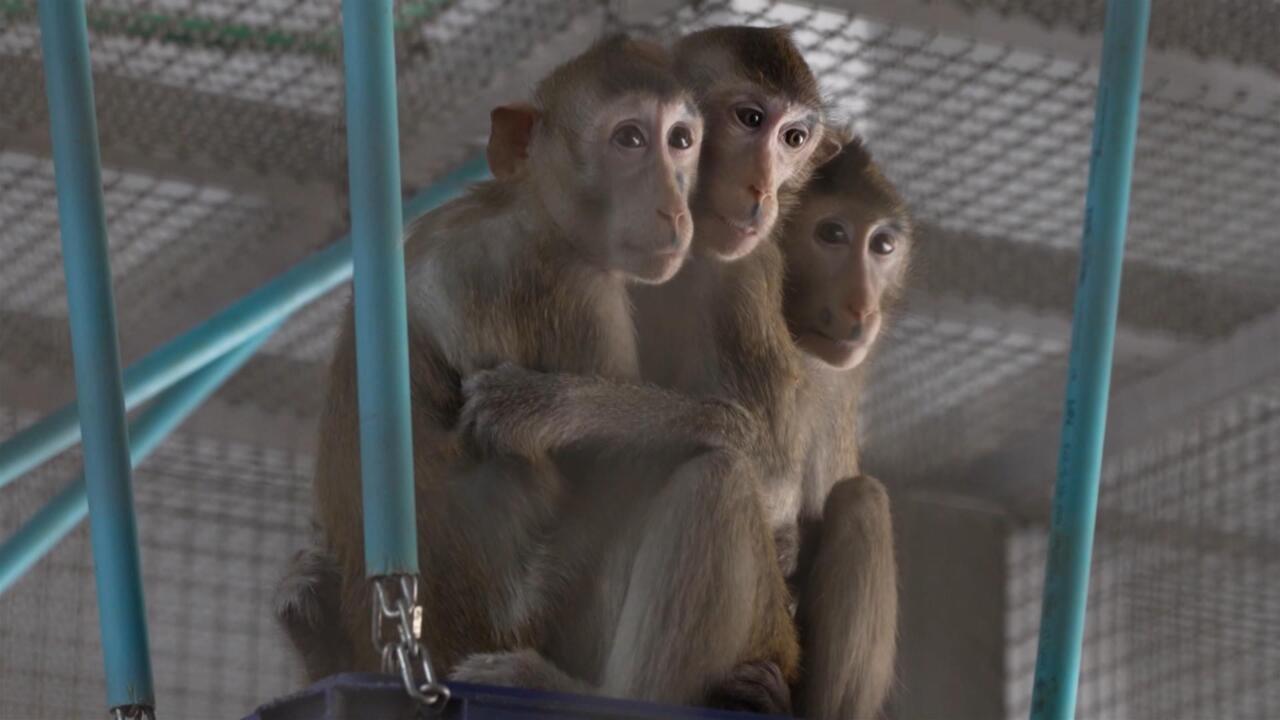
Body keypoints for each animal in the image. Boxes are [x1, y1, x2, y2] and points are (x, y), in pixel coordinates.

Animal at [275, 35, 704, 681]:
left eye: (680, 139)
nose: (673, 208)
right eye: (629, 138)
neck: (526, 204)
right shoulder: (571, 291)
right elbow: (617, 466)